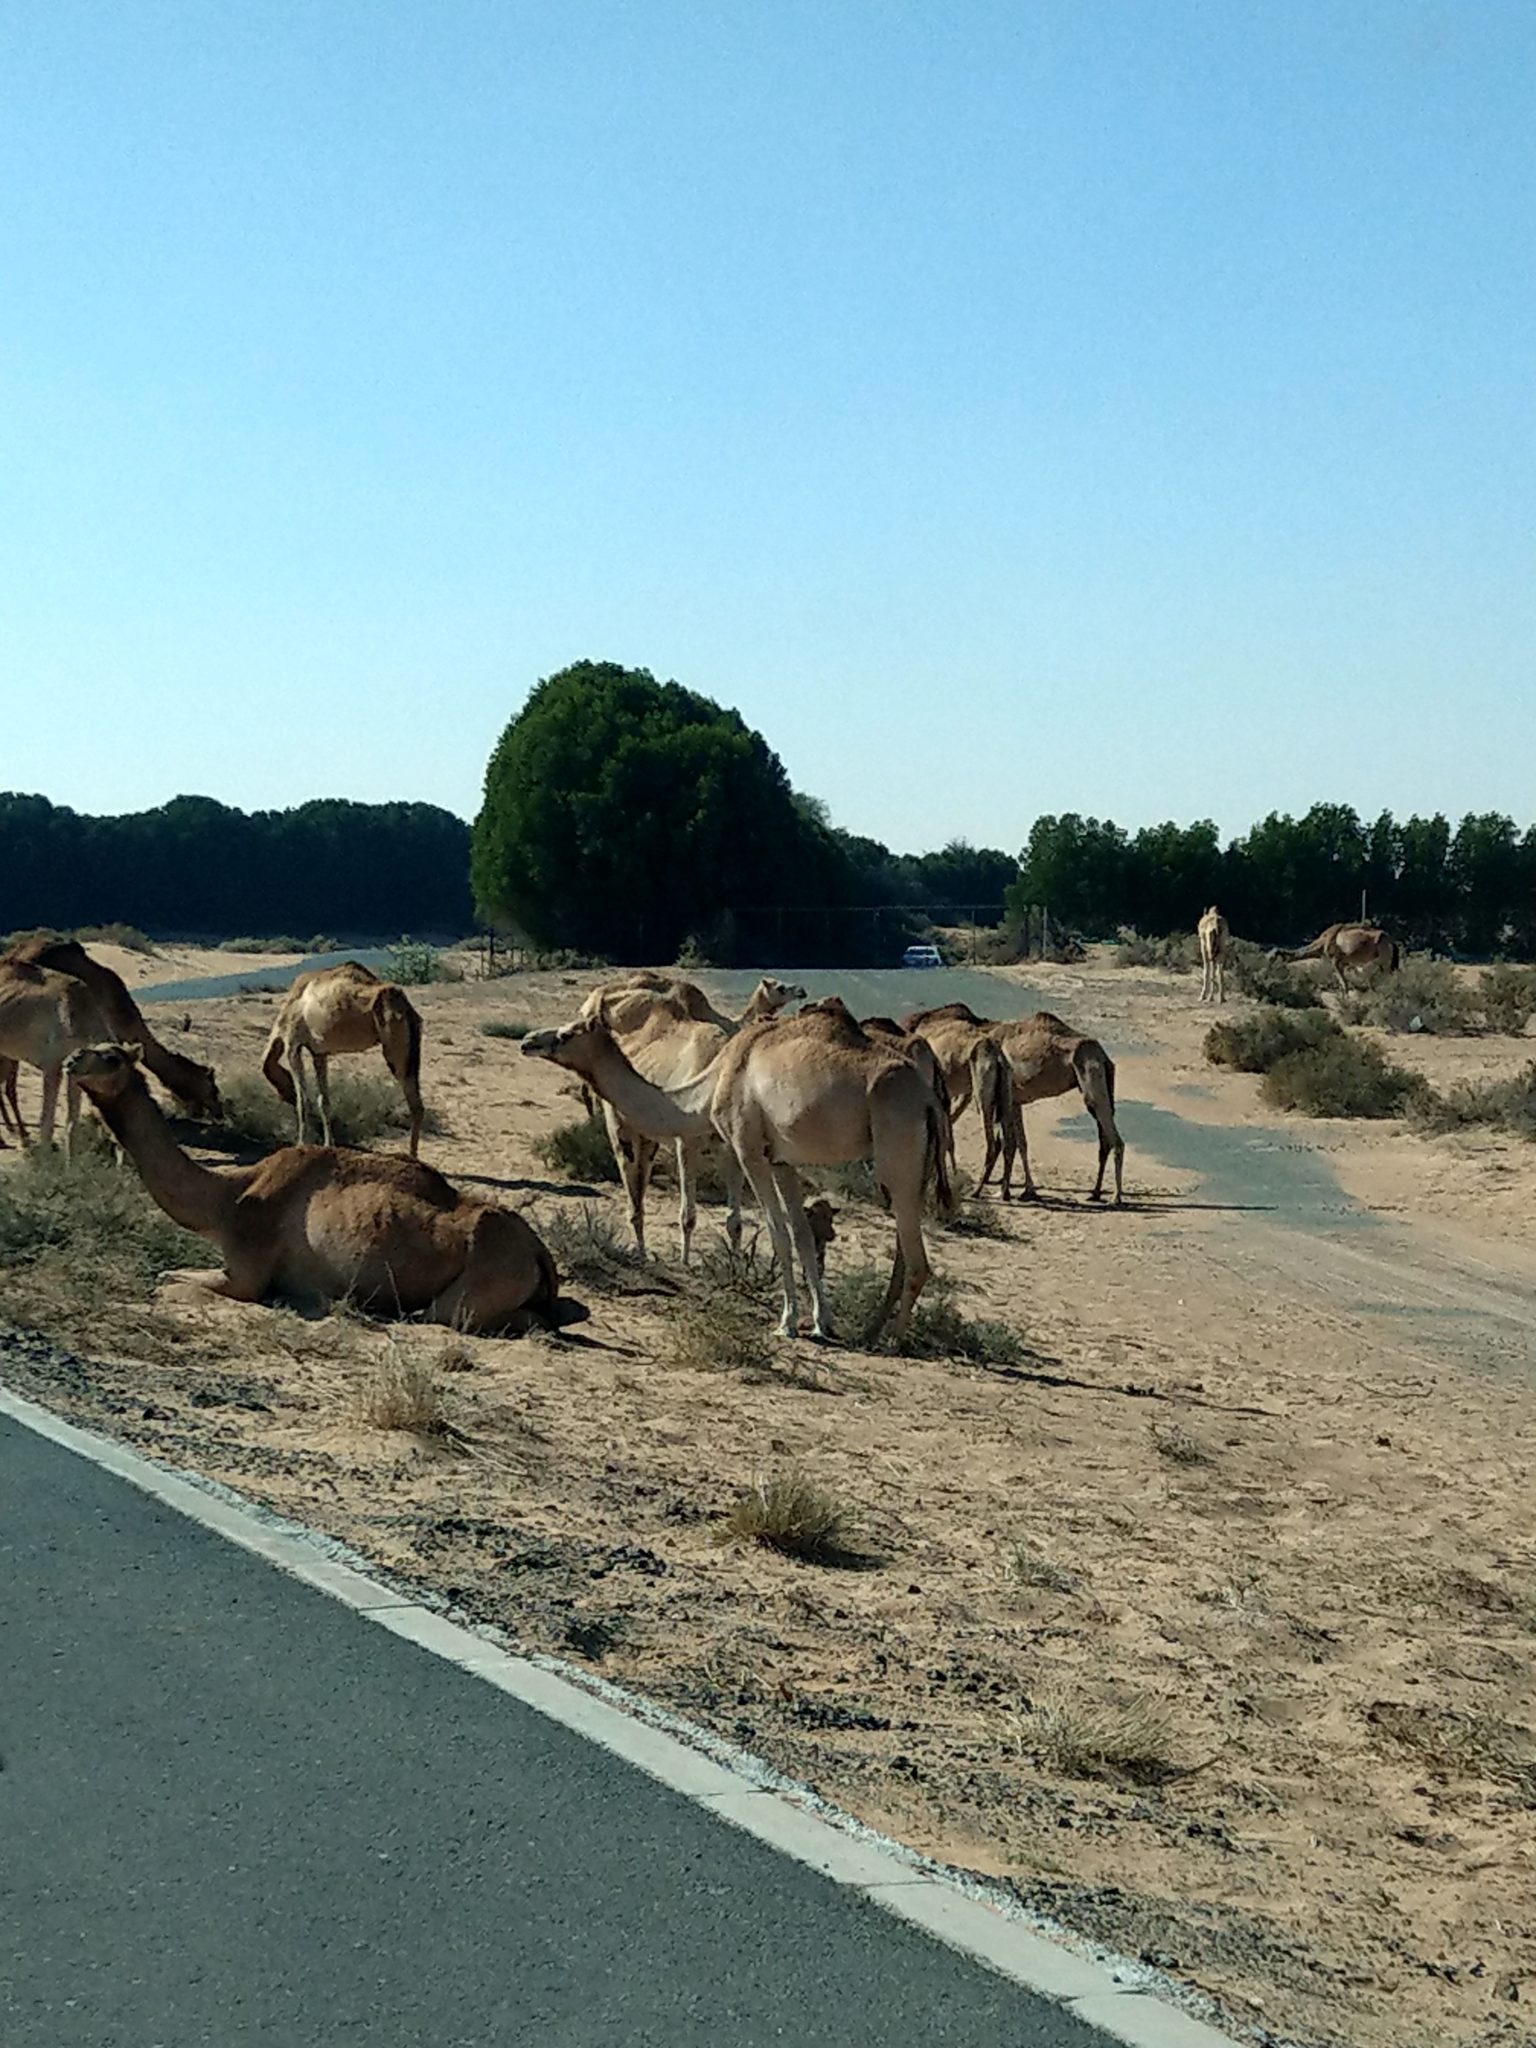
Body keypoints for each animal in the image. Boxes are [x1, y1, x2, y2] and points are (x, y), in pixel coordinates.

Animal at [66, 1044, 562, 1332]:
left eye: (112, 1056)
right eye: (90, 1046)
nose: (72, 1061)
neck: (226, 1199)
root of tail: (538, 1251)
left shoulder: (246, 1269)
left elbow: (169, 1279)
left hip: (477, 1284)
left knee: (457, 1315)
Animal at [263, 962, 424, 1157]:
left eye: (282, 1089)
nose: (287, 1097)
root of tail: (406, 1008)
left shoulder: (292, 1044)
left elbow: (303, 1101)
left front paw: (300, 1145)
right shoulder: (319, 1052)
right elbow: (323, 1100)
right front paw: (329, 1145)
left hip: (394, 1044)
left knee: (413, 1101)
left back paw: (411, 1156)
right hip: (412, 1048)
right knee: (417, 1102)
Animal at [524, 1002, 951, 1343]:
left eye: (567, 1033)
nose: (528, 1040)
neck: (711, 1084)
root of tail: (928, 1098)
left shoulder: (747, 1146)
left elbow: (777, 1232)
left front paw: (787, 1323)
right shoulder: (781, 1159)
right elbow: (802, 1235)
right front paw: (821, 1321)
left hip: (896, 1147)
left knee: (916, 1259)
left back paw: (892, 1341)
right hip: (916, 1163)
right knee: (903, 1249)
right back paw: (871, 1331)